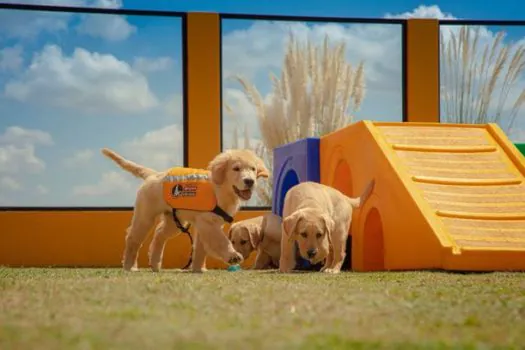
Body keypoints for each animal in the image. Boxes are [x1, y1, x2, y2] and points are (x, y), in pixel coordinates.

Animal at [101, 148, 270, 274]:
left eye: (253, 169)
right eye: (236, 168)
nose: (250, 181)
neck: (220, 190)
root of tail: (153, 175)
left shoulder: (206, 224)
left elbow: (200, 248)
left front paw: (198, 269)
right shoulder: (208, 223)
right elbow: (221, 241)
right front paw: (233, 256)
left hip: (174, 221)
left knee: (159, 234)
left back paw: (155, 264)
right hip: (145, 216)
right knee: (133, 239)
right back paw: (130, 266)